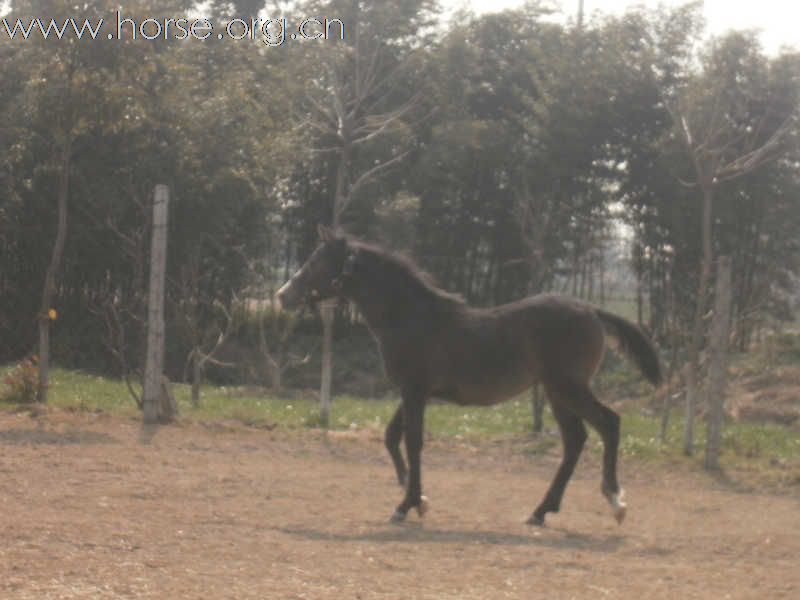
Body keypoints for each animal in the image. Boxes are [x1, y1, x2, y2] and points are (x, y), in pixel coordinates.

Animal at [276, 227, 664, 528]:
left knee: (608, 423)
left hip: (568, 386)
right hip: (557, 392)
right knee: (575, 440)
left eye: (316, 261)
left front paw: (406, 505)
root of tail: (592, 310)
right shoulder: (414, 391)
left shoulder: (415, 390)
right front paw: (417, 498)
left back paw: (615, 500)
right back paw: (540, 512)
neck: (412, 317)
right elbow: (392, 436)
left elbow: (412, 441)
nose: (282, 295)